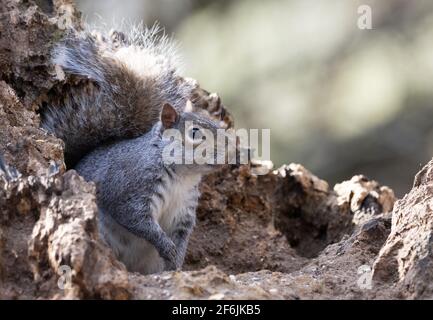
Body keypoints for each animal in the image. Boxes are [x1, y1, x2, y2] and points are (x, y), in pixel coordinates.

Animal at [41, 26, 230, 274]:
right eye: (195, 133)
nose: (229, 153)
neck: (181, 177)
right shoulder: (130, 188)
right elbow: (138, 221)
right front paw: (166, 247)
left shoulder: (184, 210)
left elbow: (182, 237)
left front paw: (177, 262)